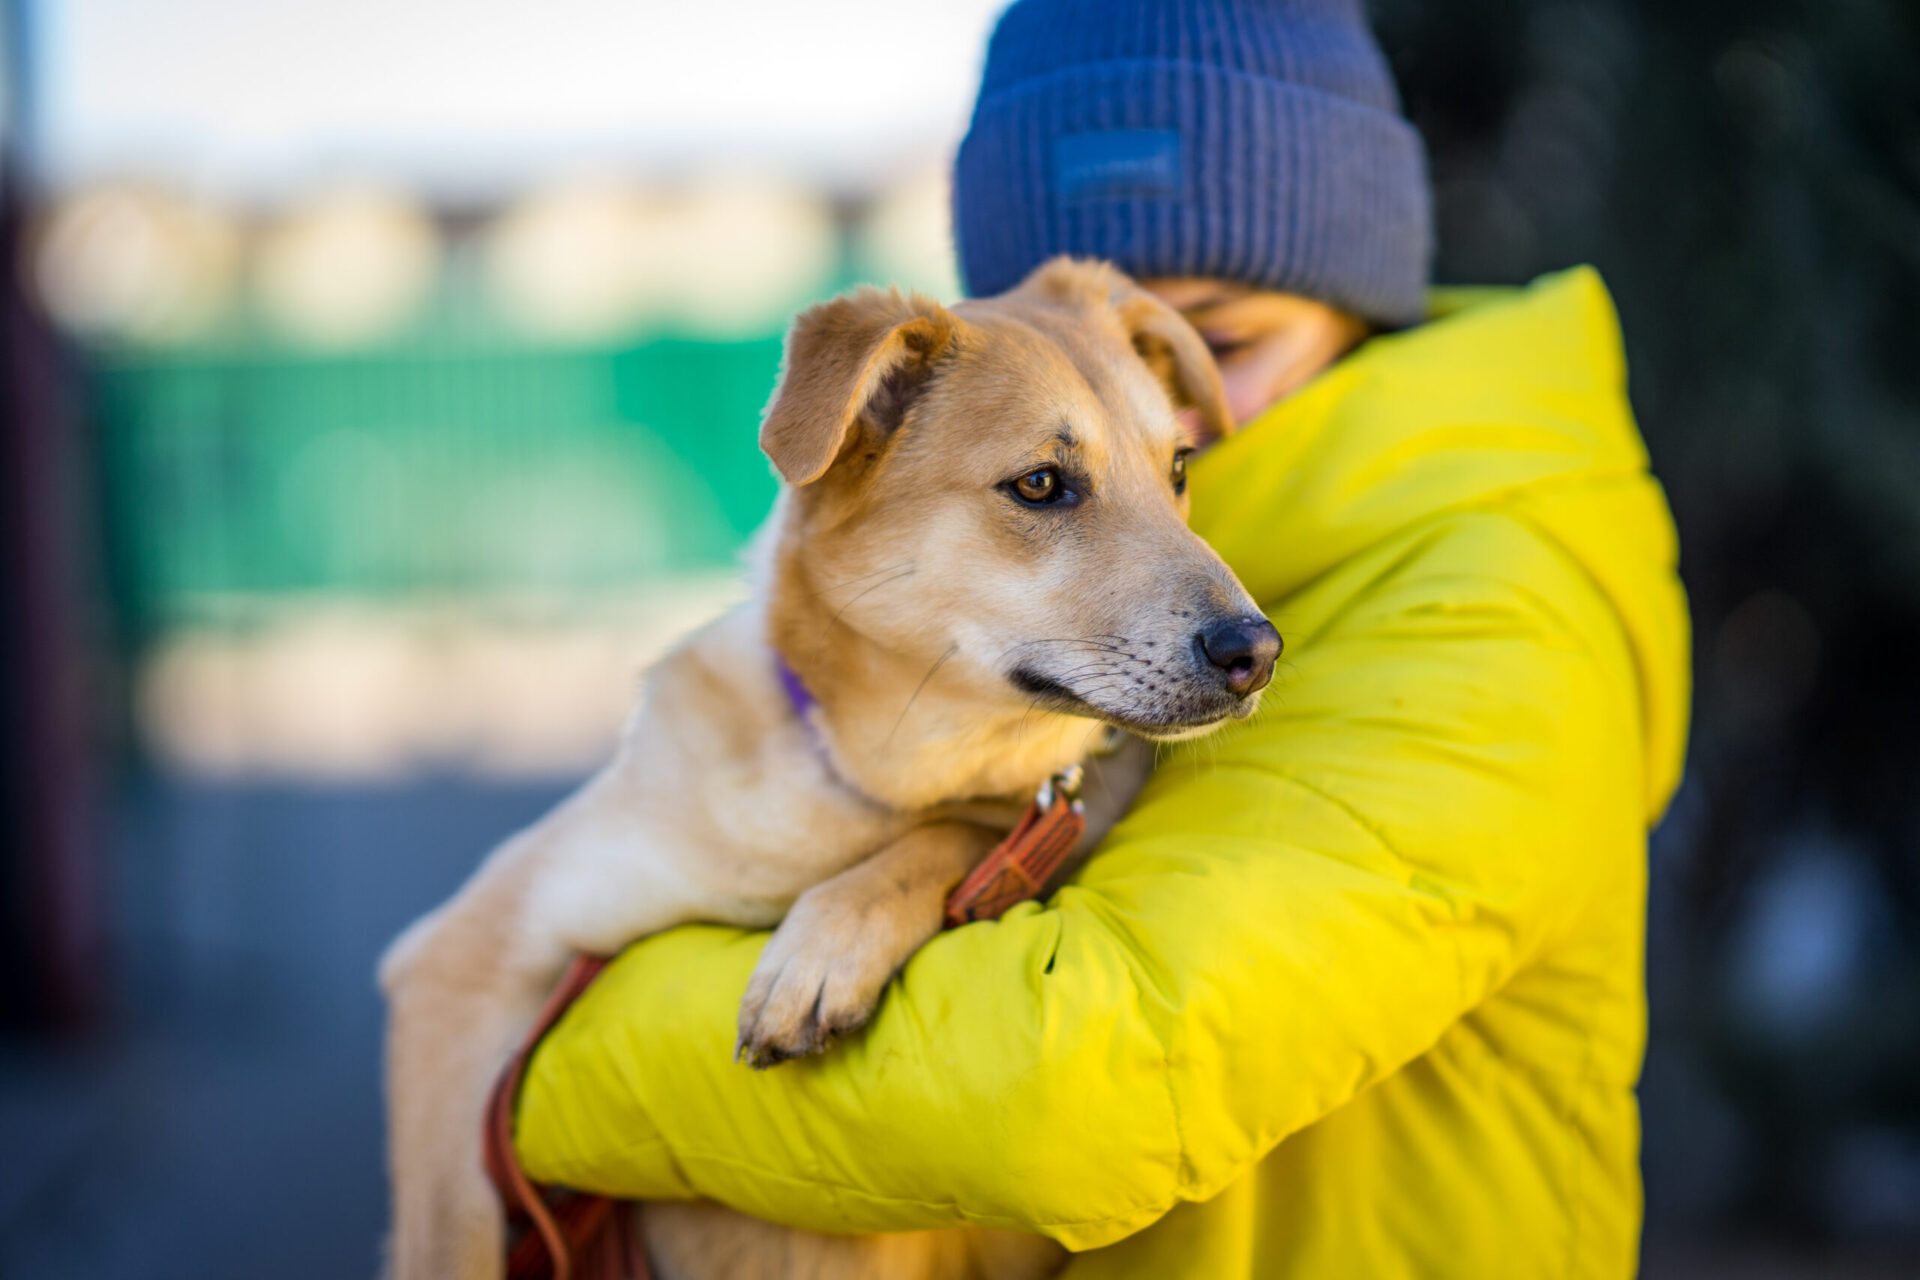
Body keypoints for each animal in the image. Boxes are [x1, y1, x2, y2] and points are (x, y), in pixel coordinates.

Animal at [380, 260, 1282, 1280]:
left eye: (1179, 470)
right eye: (1042, 484)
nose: (1258, 652)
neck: (860, 783)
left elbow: (958, 828)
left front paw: (824, 947)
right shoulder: (460, 963)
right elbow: (446, 1234)